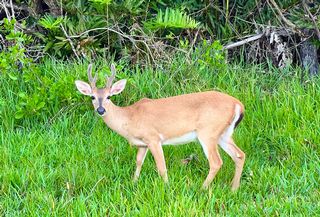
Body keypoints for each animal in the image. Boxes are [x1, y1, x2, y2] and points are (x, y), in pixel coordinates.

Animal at [75, 63, 245, 190]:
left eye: (109, 96)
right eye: (92, 97)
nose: (101, 110)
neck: (130, 118)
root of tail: (238, 105)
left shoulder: (153, 138)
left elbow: (161, 166)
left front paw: (167, 187)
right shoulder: (142, 144)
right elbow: (138, 162)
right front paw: (133, 183)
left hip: (208, 132)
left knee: (216, 162)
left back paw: (202, 188)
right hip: (224, 134)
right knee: (239, 155)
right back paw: (233, 188)